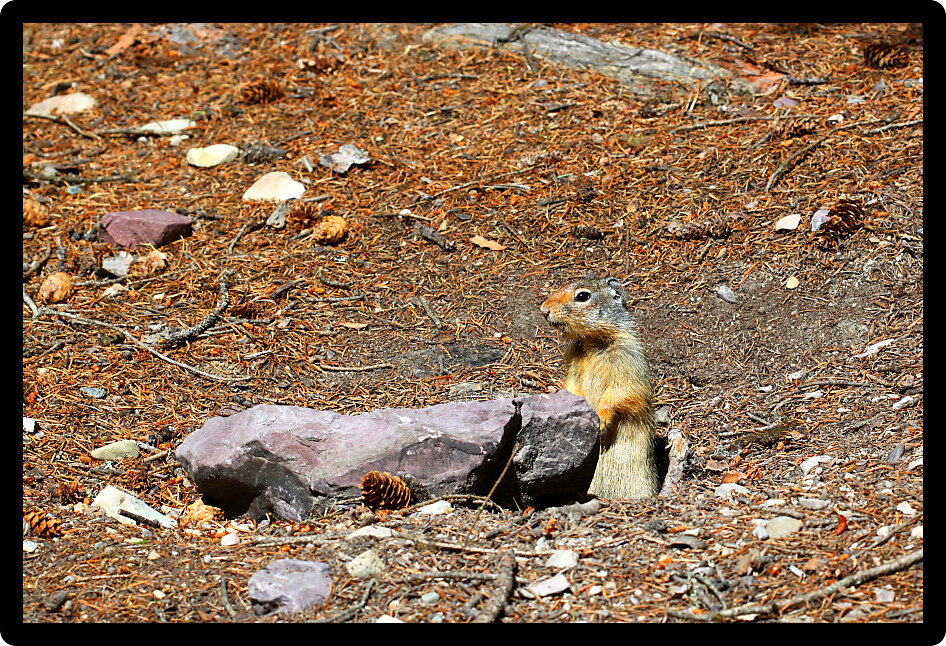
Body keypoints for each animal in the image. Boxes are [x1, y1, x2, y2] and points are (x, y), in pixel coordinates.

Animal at [540, 276, 659, 499]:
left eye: (582, 296)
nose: (544, 309)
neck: (592, 344)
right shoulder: (573, 368)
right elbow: (572, 389)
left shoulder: (626, 363)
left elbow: (622, 393)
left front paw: (602, 421)